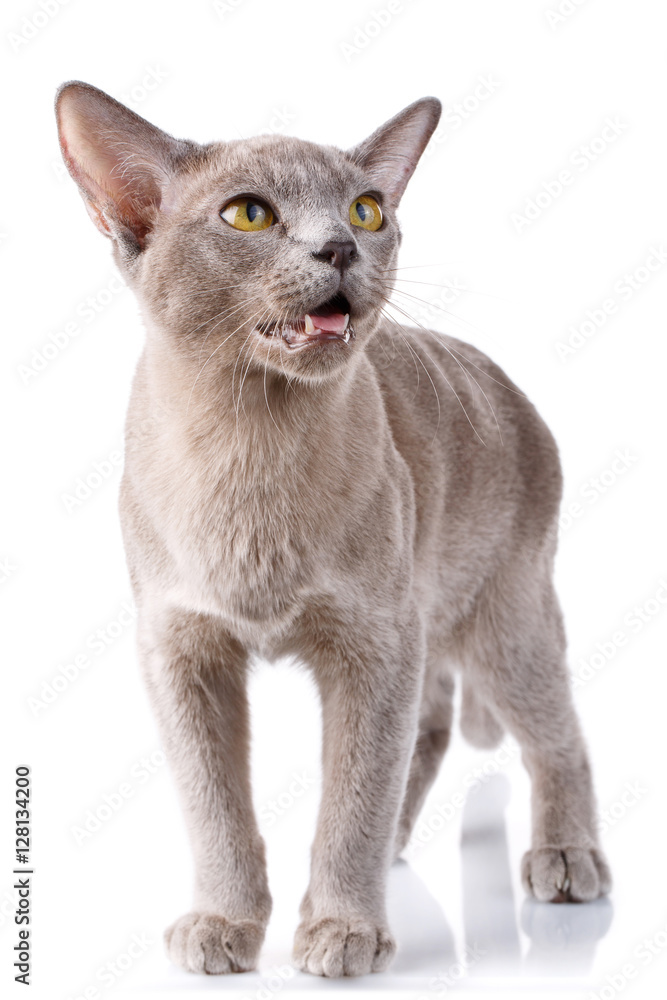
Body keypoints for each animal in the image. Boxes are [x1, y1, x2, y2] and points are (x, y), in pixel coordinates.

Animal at [56, 84, 612, 976]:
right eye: (248, 214)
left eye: (365, 209)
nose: (341, 248)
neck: (247, 444)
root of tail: (503, 380)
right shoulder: (181, 649)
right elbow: (215, 808)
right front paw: (222, 926)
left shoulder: (373, 641)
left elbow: (353, 794)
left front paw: (343, 931)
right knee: (431, 727)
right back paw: (400, 846)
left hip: (506, 618)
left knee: (554, 733)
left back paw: (565, 861)